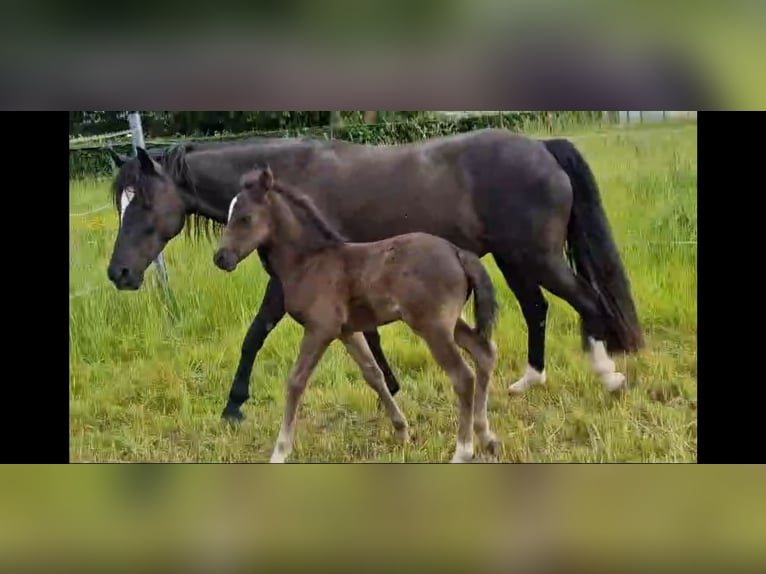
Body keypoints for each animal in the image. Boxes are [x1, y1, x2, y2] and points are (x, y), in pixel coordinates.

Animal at [108, 129, 644, 424]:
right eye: (121, 203)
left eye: (146, 202)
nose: (119, 273)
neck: (285, 182)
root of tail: (542, 148)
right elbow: (367, 335)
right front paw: (390, 385)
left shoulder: (290, 281)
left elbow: (254, 335)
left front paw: (233, 407)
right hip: (516, 259)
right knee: (538, 308)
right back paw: (528, 382)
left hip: (538, 257)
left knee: (587, 301)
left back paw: (609, 379)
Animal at [216, 166, 504, 464]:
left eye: (245, 218)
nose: (221, 258)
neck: (309, 262)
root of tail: (457, 252)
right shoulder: (346, 331)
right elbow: (373, 374)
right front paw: (401, 431)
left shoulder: (320, 329)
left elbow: (296, 381)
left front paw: (280, 451)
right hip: (448, 323)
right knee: (484, 352)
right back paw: (487, 436)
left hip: (432, 327)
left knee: (463, 377)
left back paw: (463, 450)